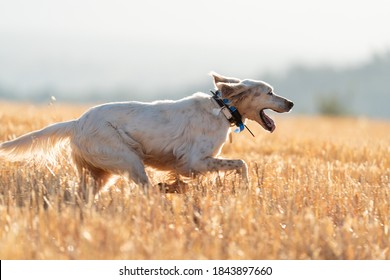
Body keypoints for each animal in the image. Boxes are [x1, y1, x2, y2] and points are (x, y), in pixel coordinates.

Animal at [0, 72, 292, 195]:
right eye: (269, 92)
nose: (290, 103)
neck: (222, 109)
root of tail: (77, 122)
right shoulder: (195, 162)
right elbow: (241, 164)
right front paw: (247, 188)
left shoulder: (190, 164)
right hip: (129, 161)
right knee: (147, 191)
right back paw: (163, 193)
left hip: (99, 174)